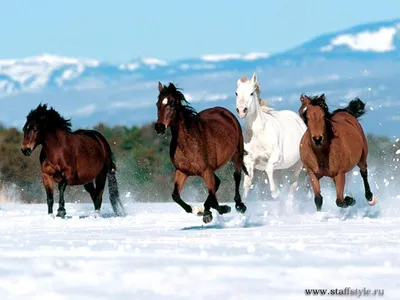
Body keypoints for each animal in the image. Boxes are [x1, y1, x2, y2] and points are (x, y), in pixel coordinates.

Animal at [155, 82, 248, 223]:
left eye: (172, 104)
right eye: (158, 104)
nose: (159, 127)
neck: (188, 144)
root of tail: (225, 112)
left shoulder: (206, 171)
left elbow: (215, 200)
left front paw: (224, 208)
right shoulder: (182, 171)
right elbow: (175, 196)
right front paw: (198, 211)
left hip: (236, 155)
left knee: (236, 176)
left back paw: (239, 206)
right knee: (217, 183)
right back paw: (206, 210)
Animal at [234, 73, 306, 204]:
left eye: (251, 93)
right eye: (236, 93)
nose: (241, 110)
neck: (259, 133)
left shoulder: (275, 157)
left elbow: (268, 169)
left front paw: (275, 193)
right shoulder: (249, 161)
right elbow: (247, 184)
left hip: (297, 165)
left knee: (293, 185)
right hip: (281, 169)